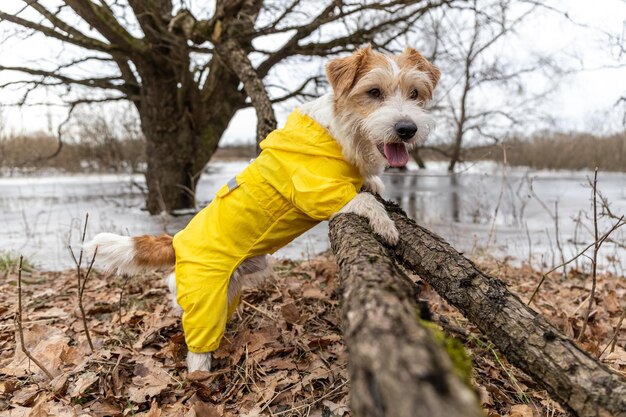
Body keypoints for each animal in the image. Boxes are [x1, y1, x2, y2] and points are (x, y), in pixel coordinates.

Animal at [85, 44, 438, 370]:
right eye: (374, 92)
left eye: (415, 93)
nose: (407, 129)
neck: (340, 133)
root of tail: (177, 241)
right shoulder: (313, 192)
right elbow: (360, 199)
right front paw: (385, 224)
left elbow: (366, 187)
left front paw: (374, 182)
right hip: (204, 298)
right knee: (195, 342)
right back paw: (201, 376)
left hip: (230, 290)